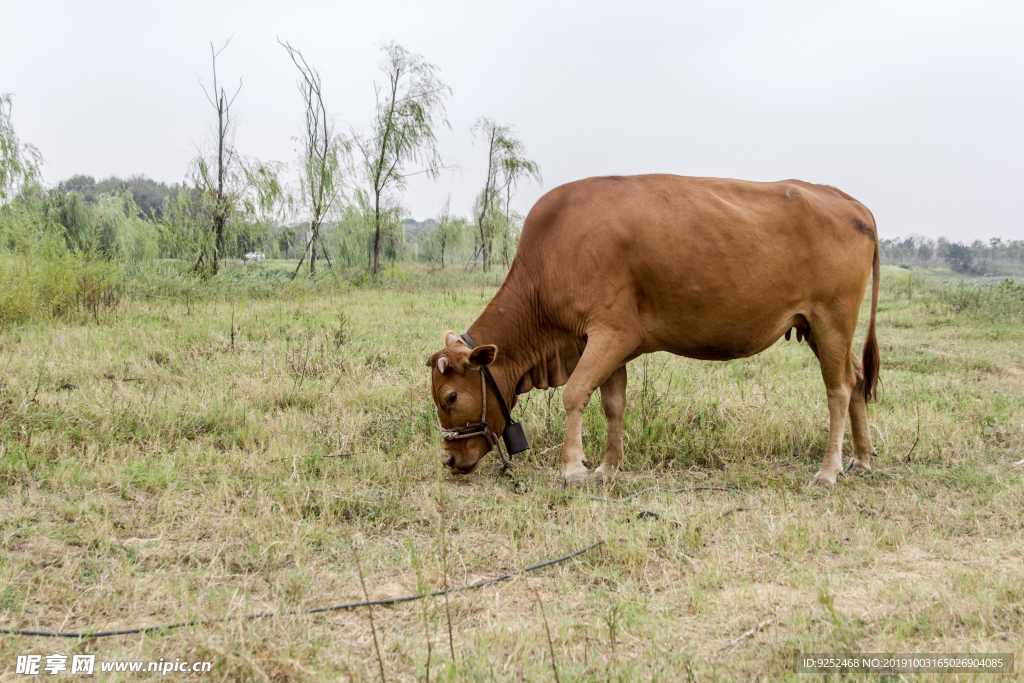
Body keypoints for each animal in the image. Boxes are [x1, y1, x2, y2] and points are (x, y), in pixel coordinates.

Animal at [428, 175, 876, 485]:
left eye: (451, 397)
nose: (448, 460)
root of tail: (848, 200)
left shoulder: (613, 331)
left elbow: (575, 393)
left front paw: (573, 468)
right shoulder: (608, 342)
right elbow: (613, 404)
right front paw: (607, 468)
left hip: (832, 320)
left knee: (838, 389)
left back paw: (829, 471)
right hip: (818, 328)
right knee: (856, 376)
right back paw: (861, 458)